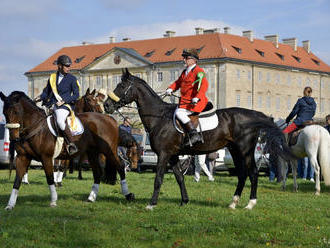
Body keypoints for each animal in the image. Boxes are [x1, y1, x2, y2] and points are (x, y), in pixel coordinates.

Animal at [0, 90, 134, 210]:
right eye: (4, 112)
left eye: (16, 111)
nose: (13, 138)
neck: (34, 127)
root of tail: (110, 119)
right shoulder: (23, 157)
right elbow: (17, 180)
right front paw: (10, 205)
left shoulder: (47, 157)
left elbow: (50, 178)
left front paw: (53, 201)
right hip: (92, 153)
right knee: (97, 173)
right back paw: (91, 198)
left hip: (109, 151)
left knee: (120, 167)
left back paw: (128, 195)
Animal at [102, 69, 292, 210]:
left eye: (122, 85)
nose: (106, 105)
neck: (159, 116)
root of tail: (252, 114)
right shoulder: (173, 156)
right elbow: (179, 177)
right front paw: (184, 201)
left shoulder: (164, 154)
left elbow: (158, 179)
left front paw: (151, 204)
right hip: (235, 150)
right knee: (242, 174)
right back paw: (233, 202)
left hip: (244, 150)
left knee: (252, 173)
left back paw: (250, 204)